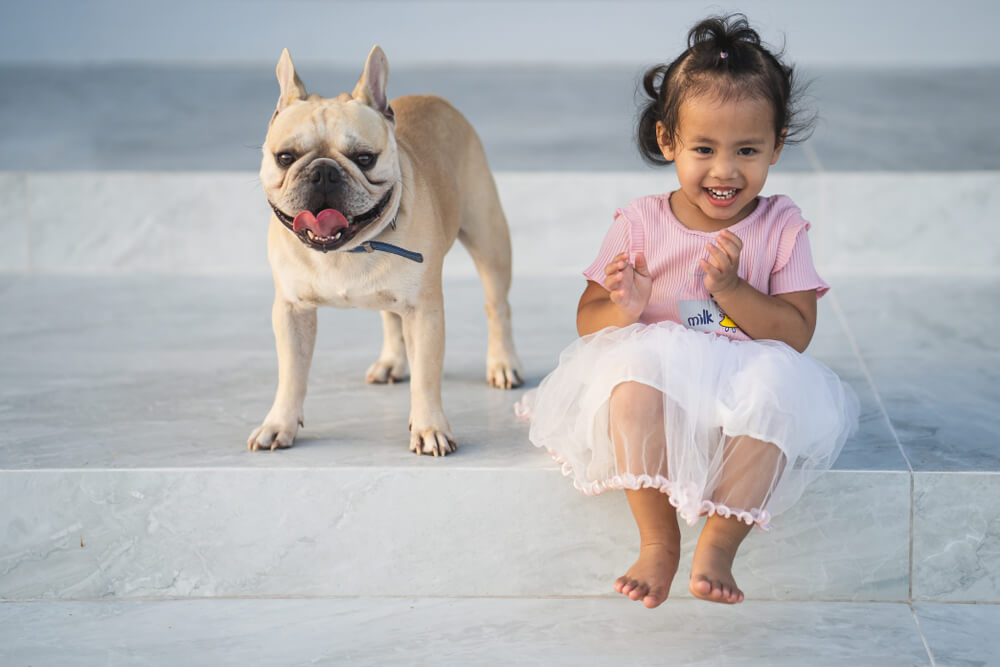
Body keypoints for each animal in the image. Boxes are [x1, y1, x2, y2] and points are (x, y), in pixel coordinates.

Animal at [248, 44, 524, 456]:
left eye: (365, 158)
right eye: (285, 158)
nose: (324, 172)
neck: (348, 250)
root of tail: (435, 98)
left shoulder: (424, 312)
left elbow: (426, 377)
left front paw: (429, 428)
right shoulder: (291, 311)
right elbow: (291, 374)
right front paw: (279, 423)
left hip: (489, 239)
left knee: (497, 306)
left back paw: (503, 364)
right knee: (391, 318)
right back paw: (393, 362)